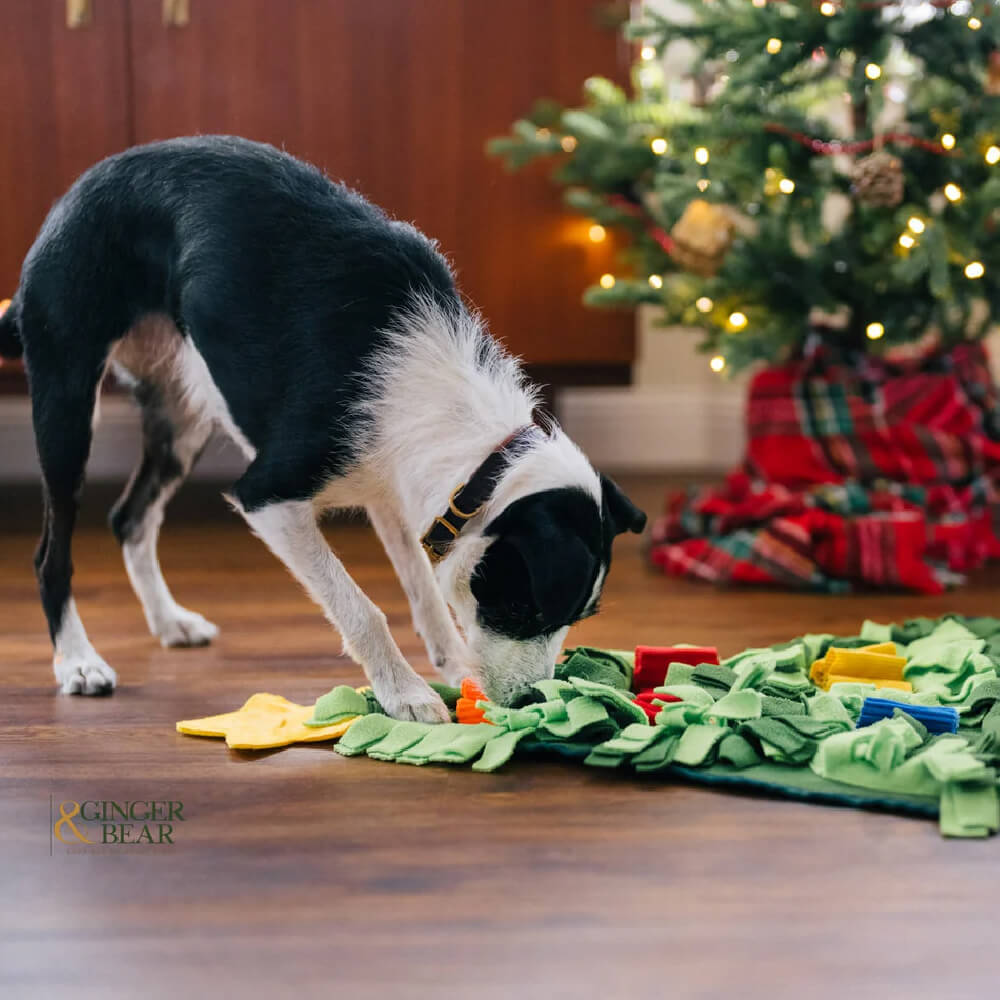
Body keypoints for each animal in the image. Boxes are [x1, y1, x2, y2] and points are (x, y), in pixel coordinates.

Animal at [0, 137, 644, 724]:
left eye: (577, 619)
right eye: (526, 609)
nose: (536, 701)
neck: (481, 450)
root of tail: (72, 198)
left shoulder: (396, 493)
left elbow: (423, 587)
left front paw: (452, 664)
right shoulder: (269, 497)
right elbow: (361, 607)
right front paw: (405, 693)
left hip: (182, 414)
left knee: (129, 517)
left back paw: (168, 621)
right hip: (67, 399)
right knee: (51, 553)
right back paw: (77, 661)